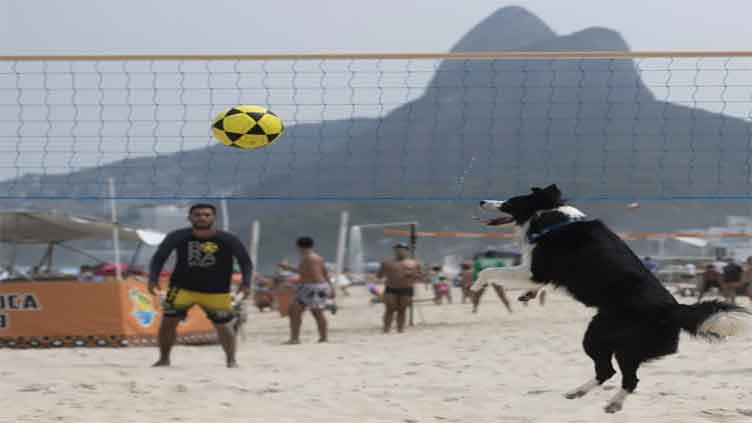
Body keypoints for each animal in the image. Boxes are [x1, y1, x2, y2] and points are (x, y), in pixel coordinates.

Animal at [472, 185, 748, 414]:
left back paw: (610, 403)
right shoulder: (543, 274)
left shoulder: (535, 269)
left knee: (620, 375)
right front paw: (527, 294)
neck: (553, 219)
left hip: (605, 339)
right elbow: (535, 285)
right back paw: (579, 393)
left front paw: (476, 285)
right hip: (617, 342)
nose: (482, 200)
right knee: (615, 373)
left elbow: (491, 271)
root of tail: (675, 309)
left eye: (510, 201)